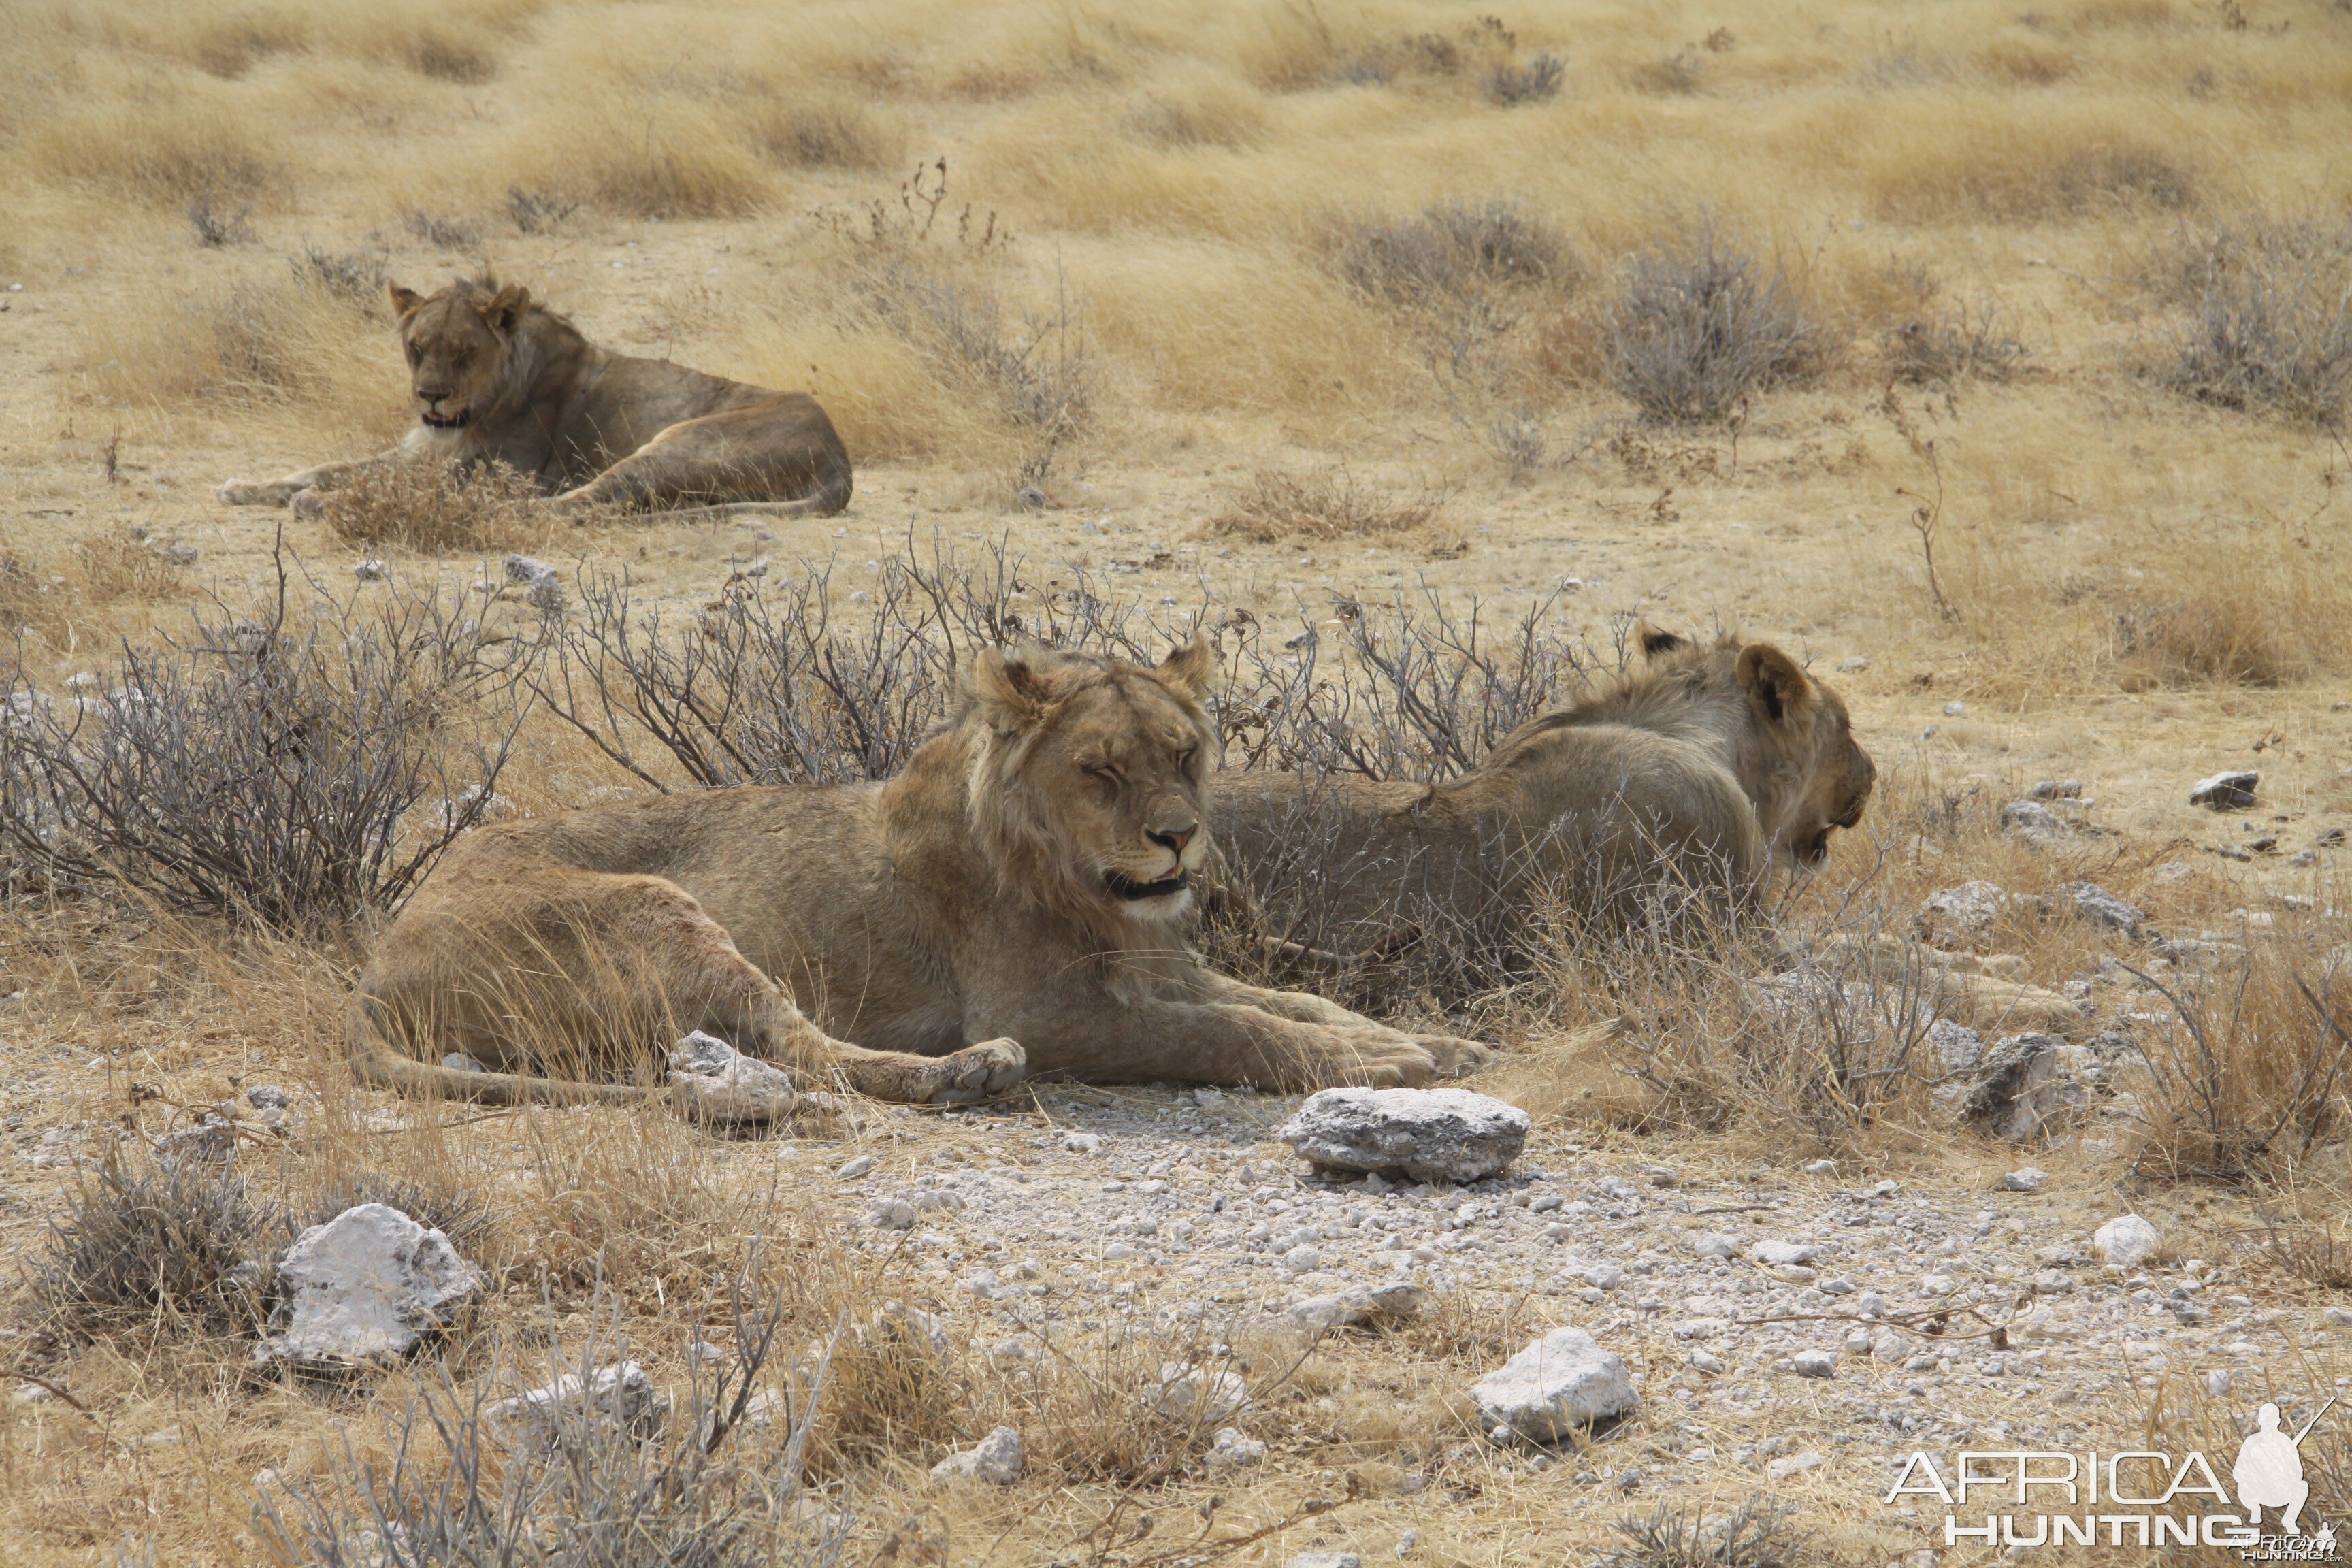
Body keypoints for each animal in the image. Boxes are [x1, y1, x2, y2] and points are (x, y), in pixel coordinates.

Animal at [216, 278, 851, 524]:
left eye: (465, 351)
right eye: (417, 347)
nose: (430, 397)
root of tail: (841, 459)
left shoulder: (499, 468)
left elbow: (386, 484)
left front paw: (321, 502)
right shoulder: (422, 449)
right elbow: (329, 467)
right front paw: (245, 486)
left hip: (683, 441)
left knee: (587, 500)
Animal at [348, 634, 1486, 1105]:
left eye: (1185, 755)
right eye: (1102, 769)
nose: (1179, 839)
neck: (1089, 890)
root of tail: (377, 957)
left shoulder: (1166, 966)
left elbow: (1295, 1000)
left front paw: (1428, 1042)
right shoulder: (1055, 1011)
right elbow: (1231, 1033)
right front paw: (1385, 1066)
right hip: (655, 913)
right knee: (806, 1055)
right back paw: (967, 1074)